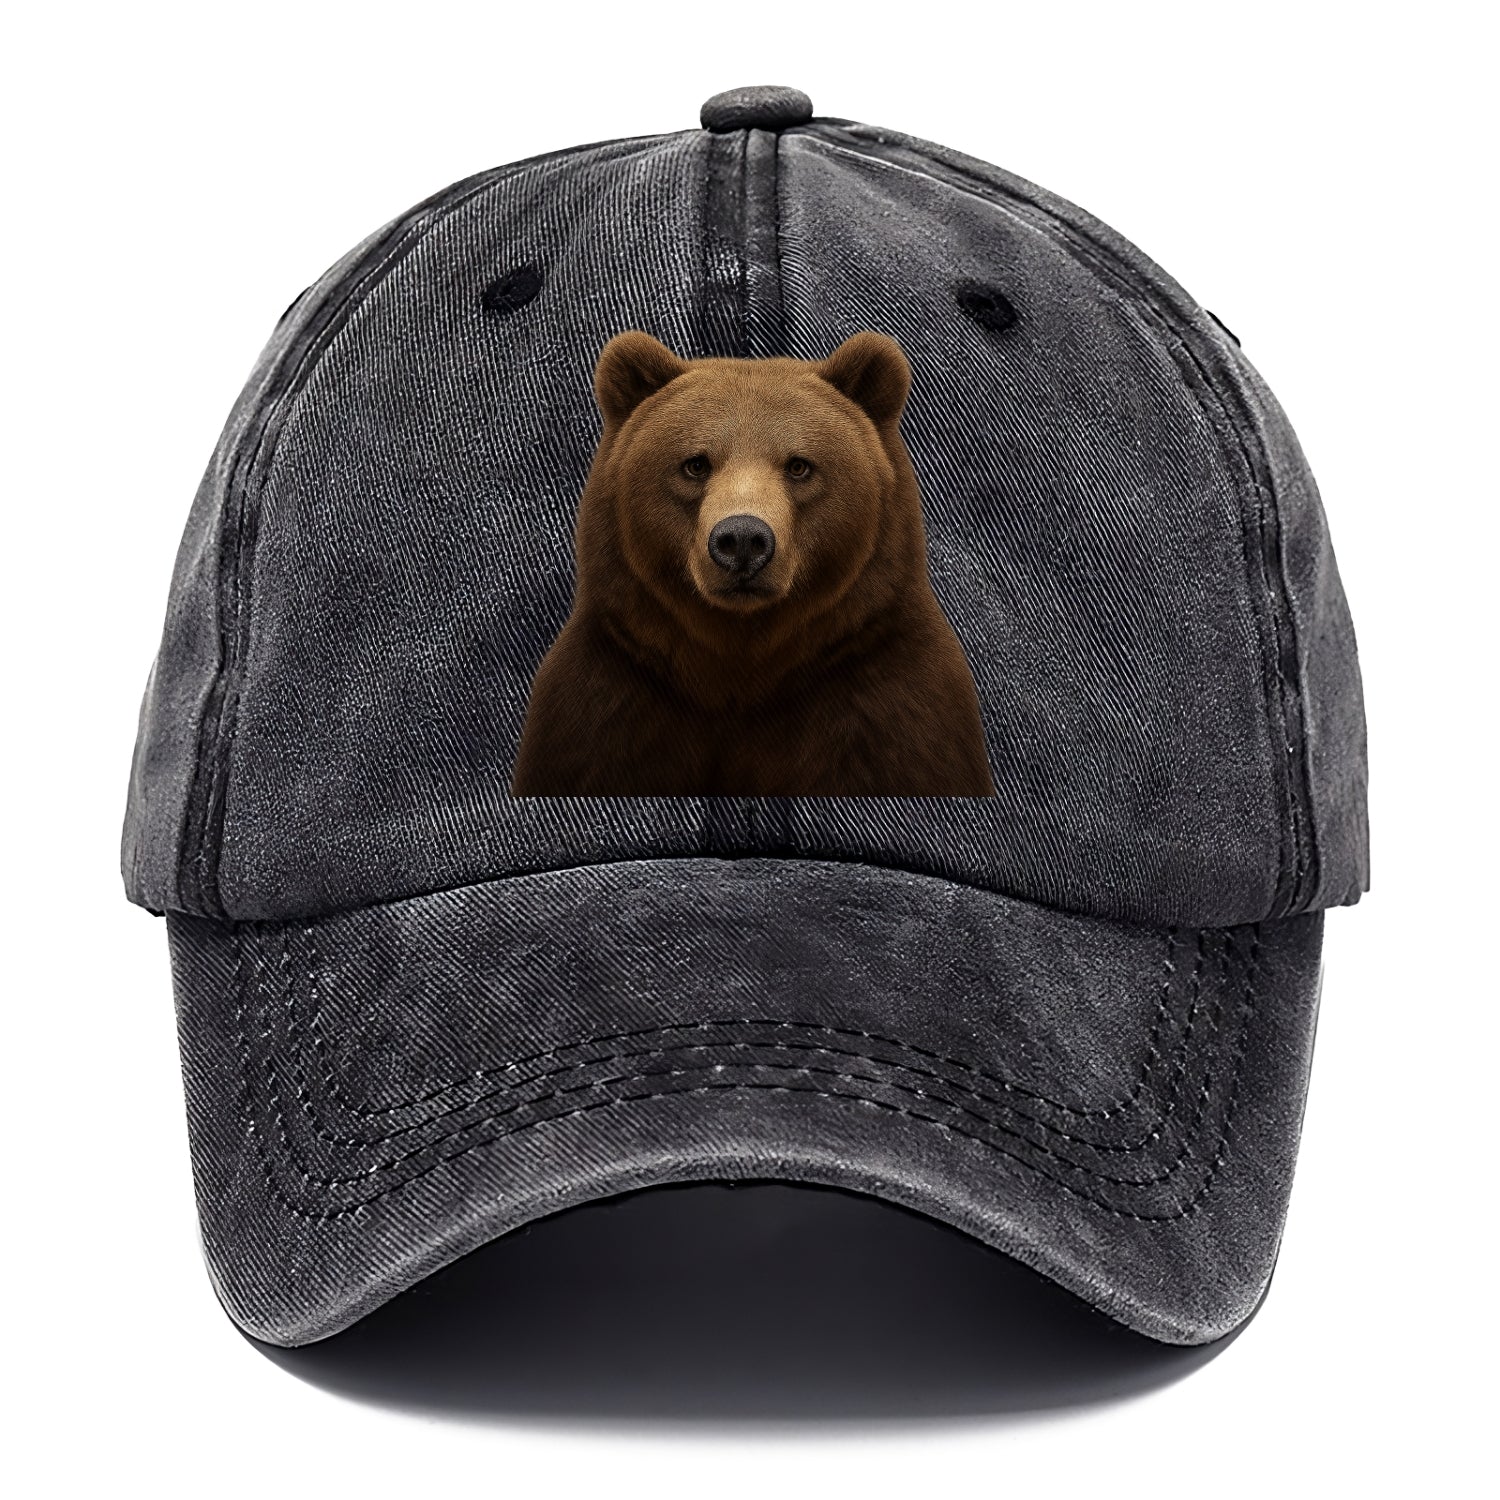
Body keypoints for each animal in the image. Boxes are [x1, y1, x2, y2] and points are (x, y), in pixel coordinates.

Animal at [511, 329, 996, 797]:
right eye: (695, 464)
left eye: (799, 465)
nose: (742, 540)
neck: (742, 668)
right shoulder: (610, 703)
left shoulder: (885, 702)